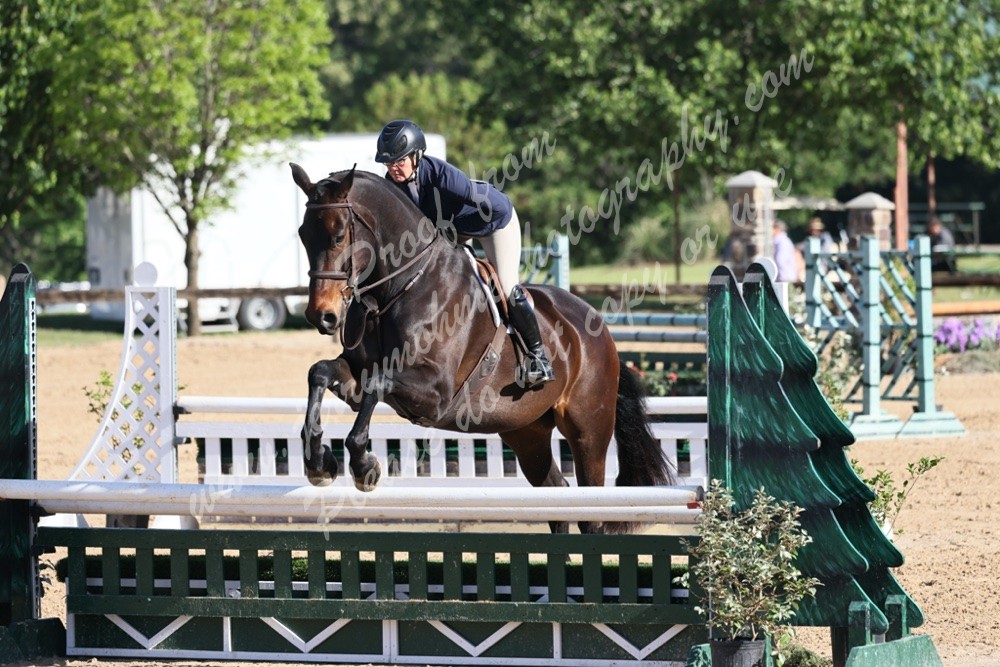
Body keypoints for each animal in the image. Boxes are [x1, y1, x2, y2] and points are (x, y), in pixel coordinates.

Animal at [290, 163, 673, 533]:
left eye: (339, 235)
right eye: (303, 235)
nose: (321, 316)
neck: (397, 288)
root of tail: (599, 328)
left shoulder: (435, 393)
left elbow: (376, 385)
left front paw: (364, 467)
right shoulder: (358, 377)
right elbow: (320, 373)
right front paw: (318, 460)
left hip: (588, 430)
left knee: (590, 510)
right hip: (526, 430)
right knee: (555, 494)